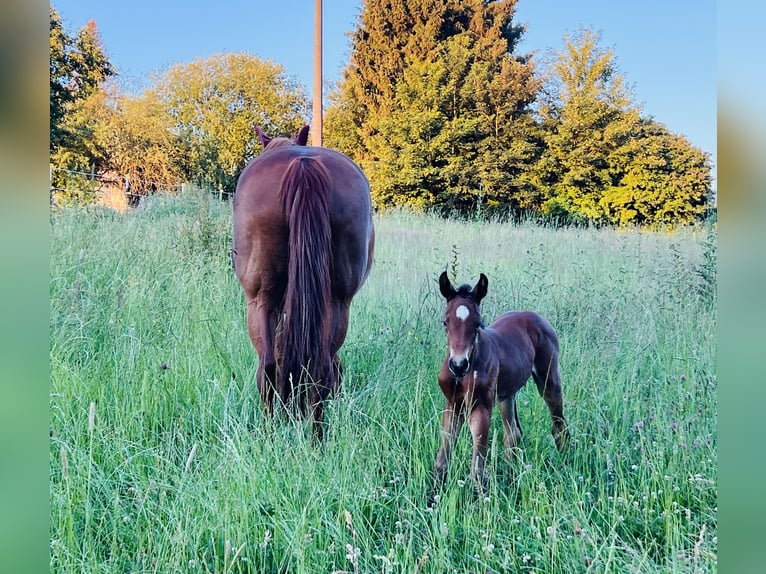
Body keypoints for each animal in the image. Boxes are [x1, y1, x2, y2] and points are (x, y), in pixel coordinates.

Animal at [234, 127, 378, 440]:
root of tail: (303, 165)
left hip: (260, 300)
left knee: (269, 366)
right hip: (335, 302)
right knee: (314, 368)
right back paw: (314, 437)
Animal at [432, 272, 568, 492]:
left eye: (477, 323)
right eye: (445, 322)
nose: (459, 365)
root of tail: (535, 316)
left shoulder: (481, 407)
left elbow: (477, 469)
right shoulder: (452, 405)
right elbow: (442, 461)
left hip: (549, 380)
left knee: (559, 424)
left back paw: (565, 462)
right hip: (507, 394)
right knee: (513, 433)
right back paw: (511, 477)